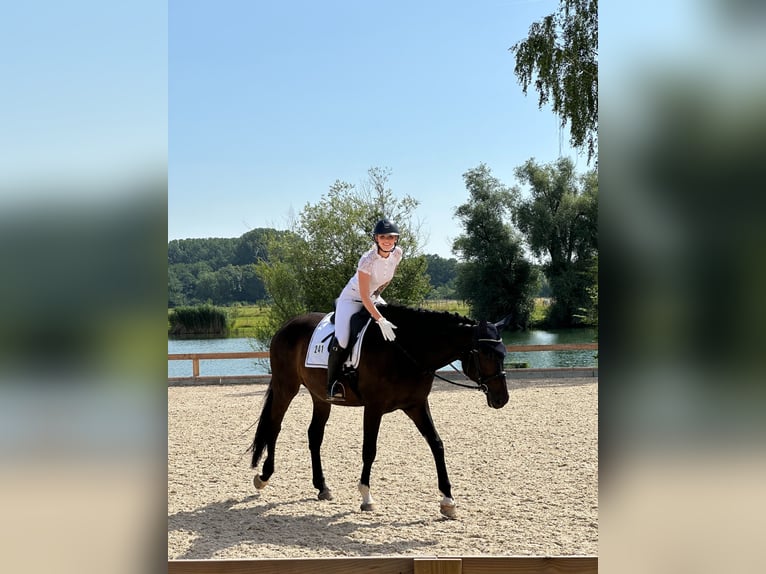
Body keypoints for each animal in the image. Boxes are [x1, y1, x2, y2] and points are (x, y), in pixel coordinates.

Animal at [249, 304, 512, 520]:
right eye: (487, 354)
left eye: (503, 353)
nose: (502, 399)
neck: (408, 349)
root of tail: (287, 326)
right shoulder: (374, 407)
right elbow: (369, 450)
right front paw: (366, 497)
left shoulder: (417, 405)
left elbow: (437, 444)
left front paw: (448, 501)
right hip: (286, 387)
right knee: (274, 426)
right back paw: (264, 476)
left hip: (320, 396)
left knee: (314, 435)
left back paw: (322, 487)